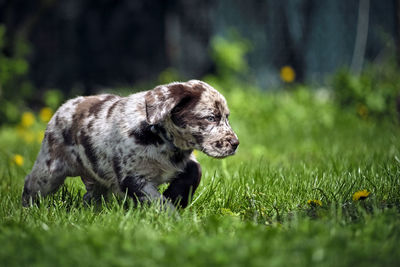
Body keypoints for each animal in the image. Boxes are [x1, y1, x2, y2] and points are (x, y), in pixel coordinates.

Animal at [21, 80, 239, 210]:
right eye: (211, 118)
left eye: (227, 117)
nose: (235, 143)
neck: (161, 140)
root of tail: (62, 108)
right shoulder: (132, 177)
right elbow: (157, 200)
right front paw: (172, 215)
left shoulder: (181, 162)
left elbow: (195, 170)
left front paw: (175, 197)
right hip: (49, 171)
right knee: (31, 185)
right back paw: (27, 211)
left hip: (97, 176)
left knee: (91, 196)